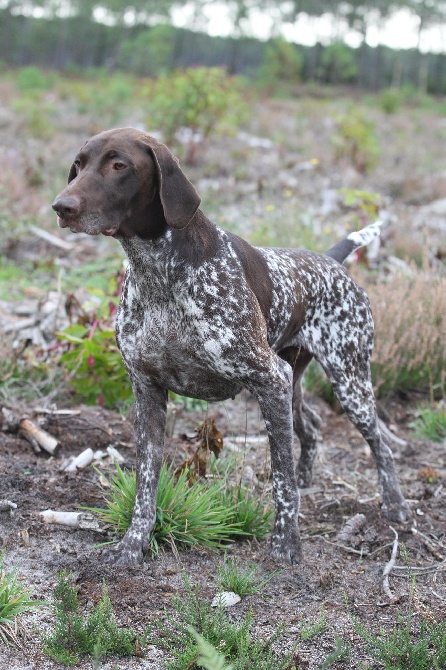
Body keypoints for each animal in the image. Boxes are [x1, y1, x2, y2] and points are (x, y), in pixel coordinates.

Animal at [53, 127, 412, 568]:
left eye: (119, 164)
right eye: (79, 165)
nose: (62, 206)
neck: (159, 273)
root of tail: (330, 261)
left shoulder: (268, 378)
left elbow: (280, 479)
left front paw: (286, 545)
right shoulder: (147, 390)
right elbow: (145, 485)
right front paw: (133, 544)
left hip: (347, 382)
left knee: (380, 443)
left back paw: (394, 504)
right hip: (293, 383)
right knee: (311, 426)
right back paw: (309, 479)